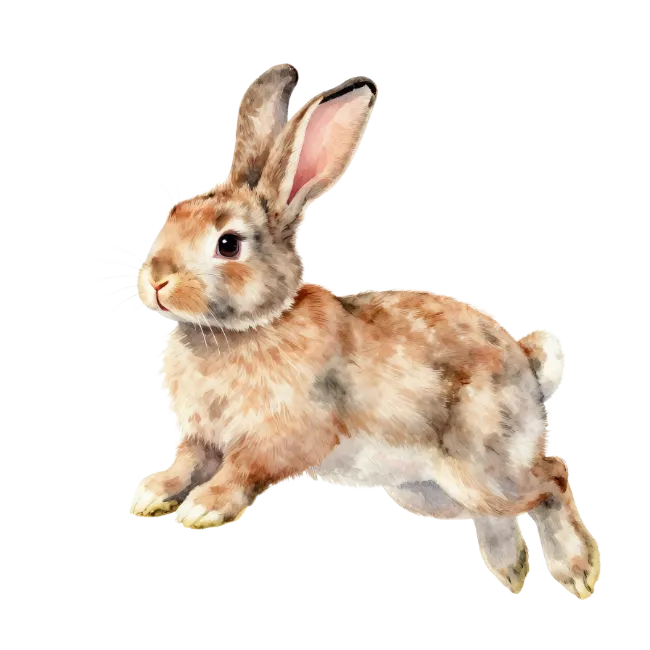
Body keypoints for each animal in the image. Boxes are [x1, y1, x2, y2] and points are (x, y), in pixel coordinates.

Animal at [130, 64, 599, 599]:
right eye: (172, 217)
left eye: (228, 244)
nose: (156, 280)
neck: (248, 327)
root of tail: (528, 366)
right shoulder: (201, 437)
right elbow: (186, 463)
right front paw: (150, 495)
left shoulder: (281, 436)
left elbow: (243, 470)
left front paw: (203, 507)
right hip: (437, 492)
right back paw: (510, 568)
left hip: (482, 467)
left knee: (552, 478)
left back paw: (577, 570)